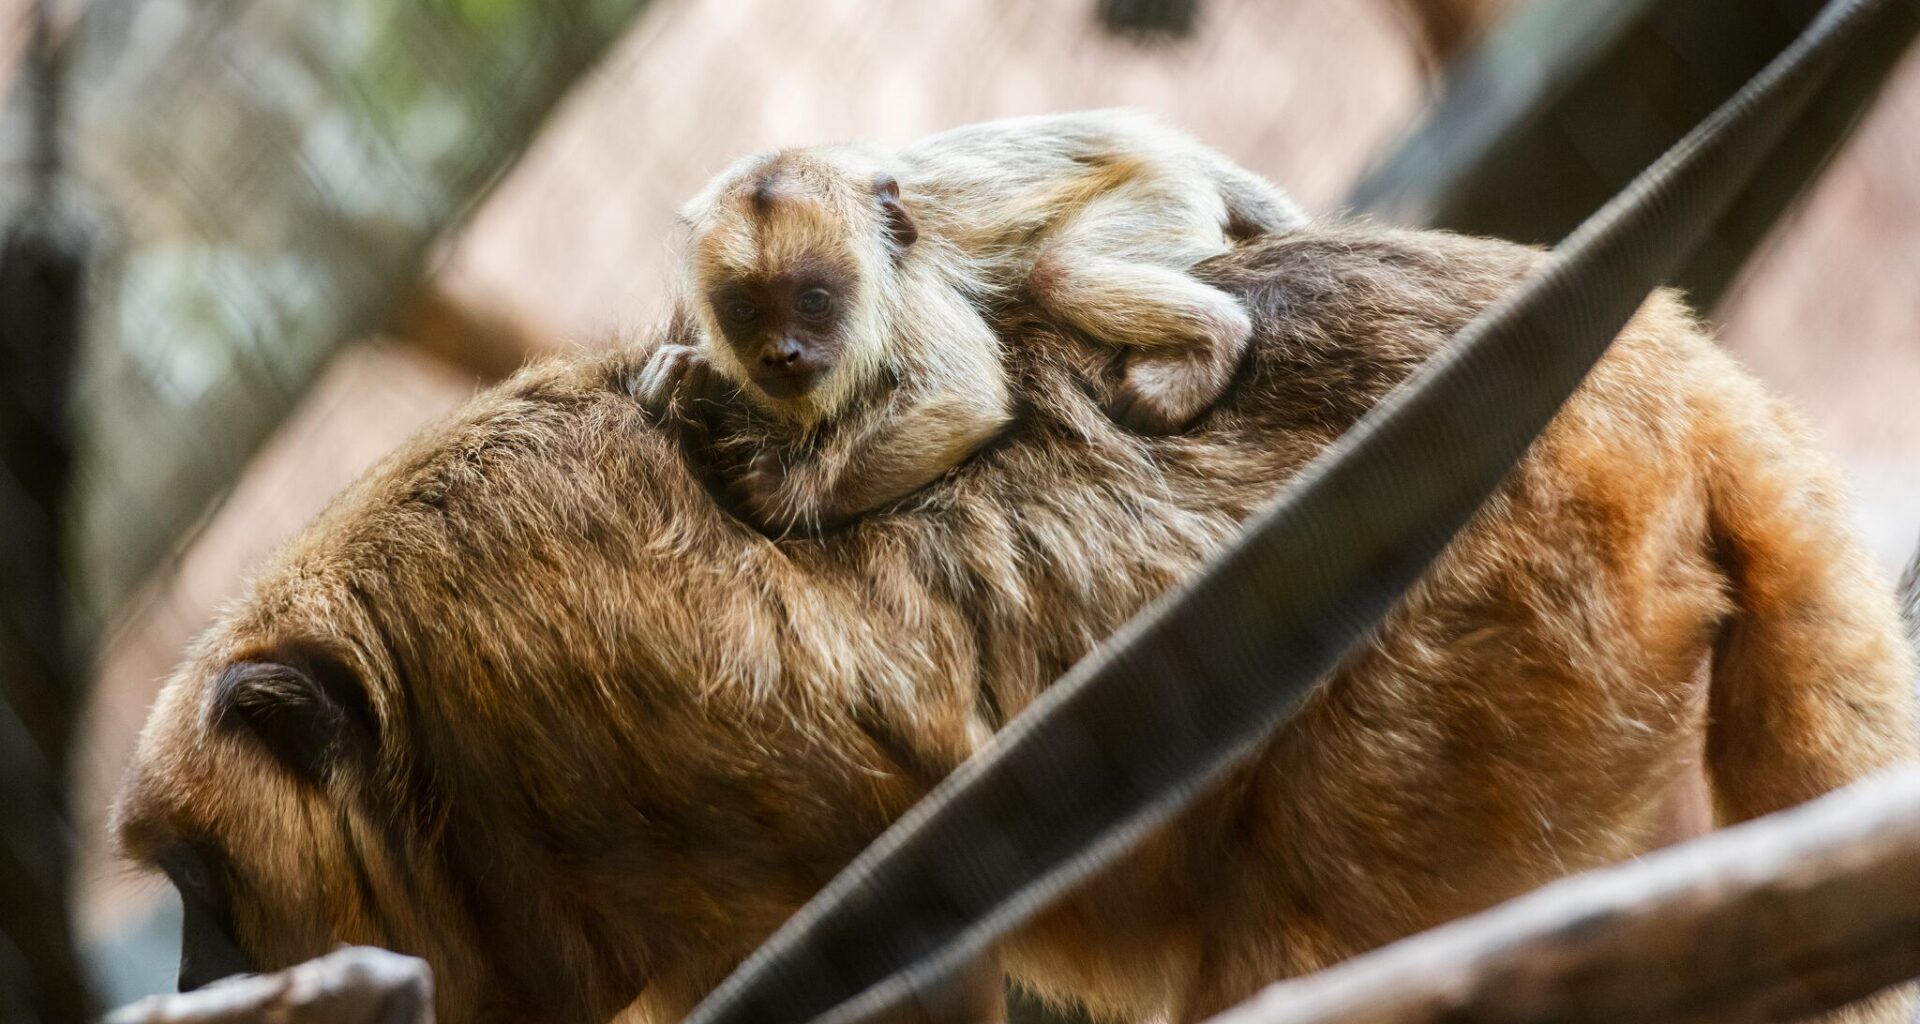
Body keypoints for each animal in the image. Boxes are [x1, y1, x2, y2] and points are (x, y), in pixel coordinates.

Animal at [635, 109, 1306, 532]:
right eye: (744, 312)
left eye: (814, 302)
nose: (782, 353)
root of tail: (1161, 143)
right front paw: (690, 372)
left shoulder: (909, 289)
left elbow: (963, 399)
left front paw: (792, 495)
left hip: (1161, 195)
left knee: (1059, 271)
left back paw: (1215, 341)